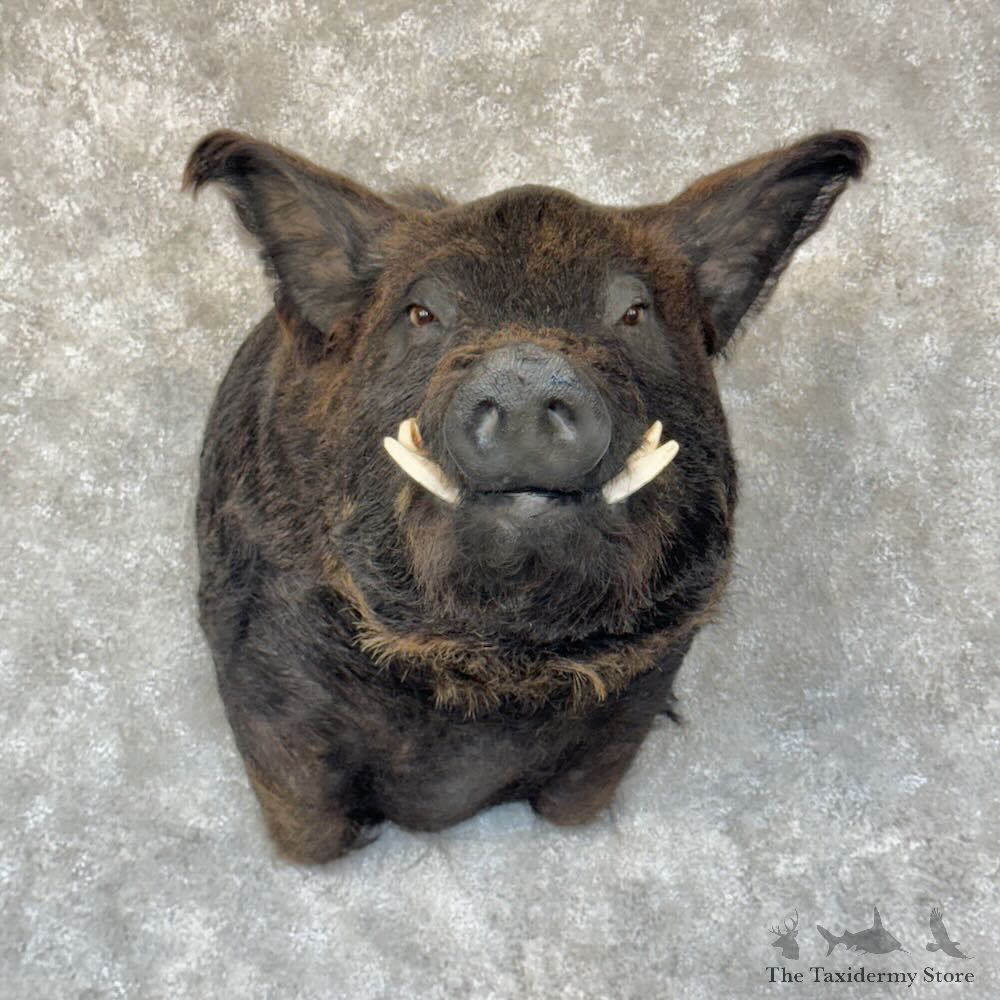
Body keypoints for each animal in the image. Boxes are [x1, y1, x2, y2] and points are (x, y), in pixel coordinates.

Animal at [184, 128, 868, 863]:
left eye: (634, 313)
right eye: (421, 313)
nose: (525, 369)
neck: (502, 666)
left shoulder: (635, 703)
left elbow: (576, 803)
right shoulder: (266, 693)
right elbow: (308, 831)